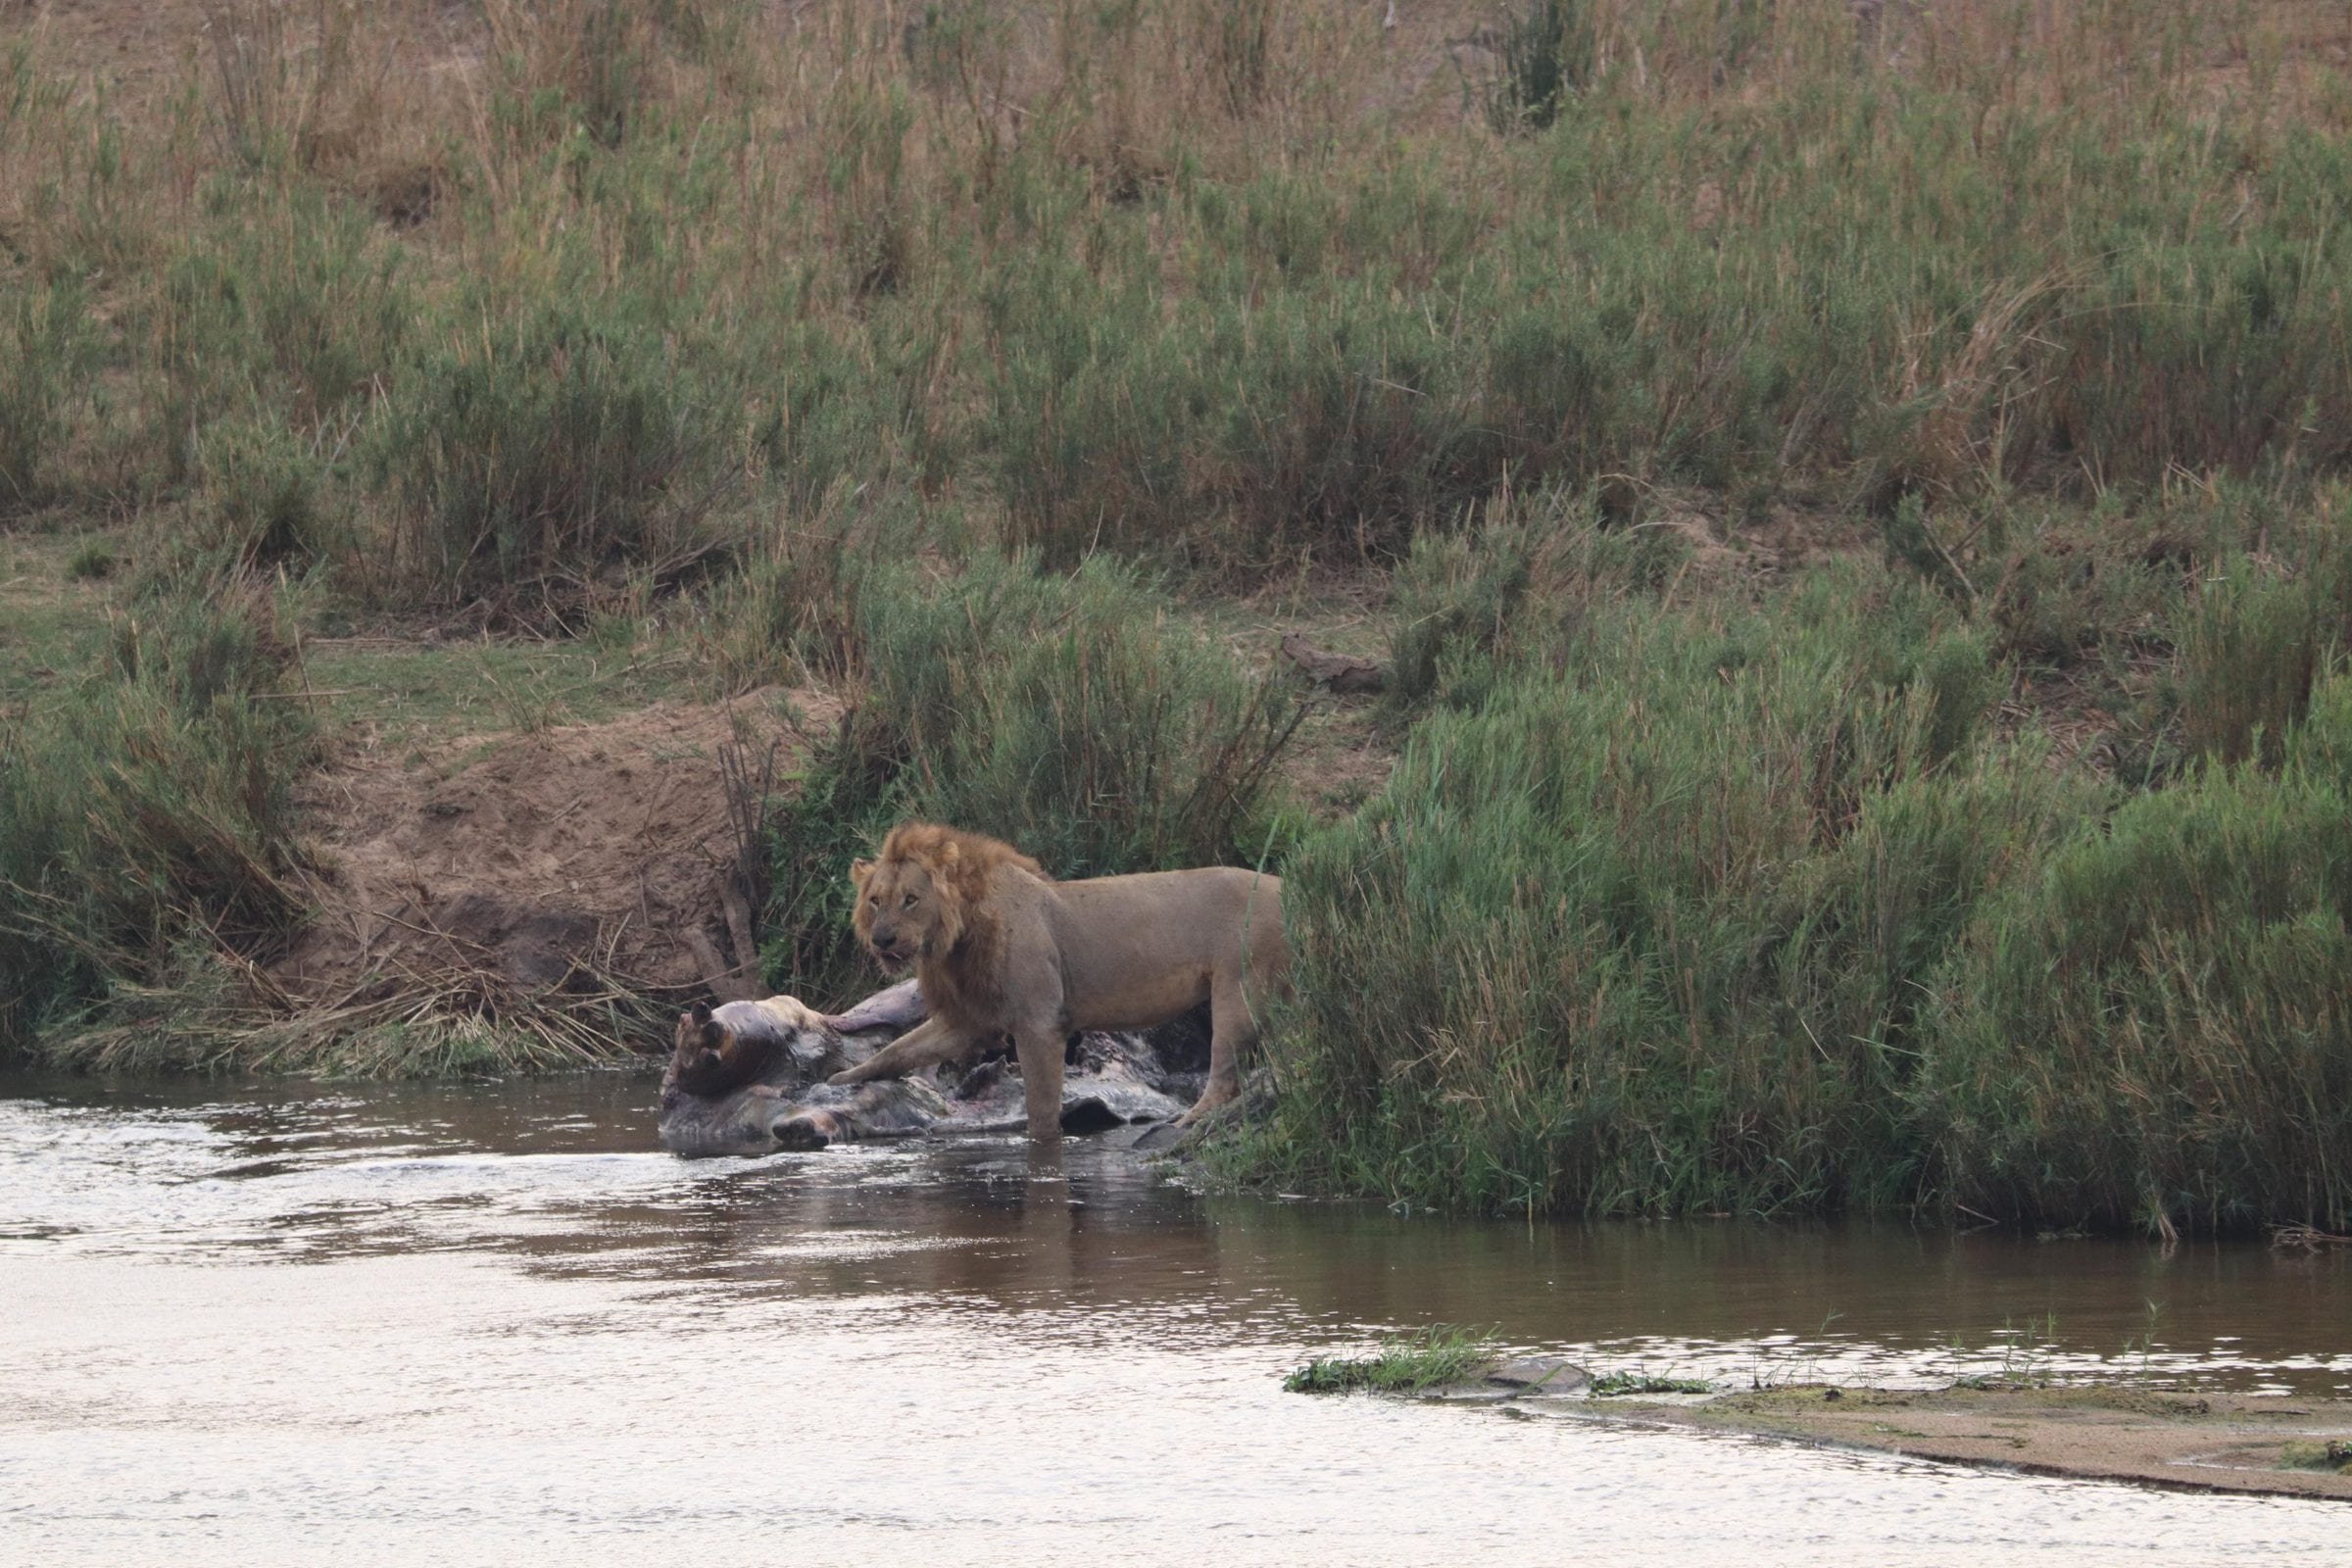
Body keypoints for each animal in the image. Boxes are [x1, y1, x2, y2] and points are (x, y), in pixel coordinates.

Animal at [827, 822, 1289, 1140]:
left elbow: (1042, 1109)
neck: (956, 940)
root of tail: (1286, 884)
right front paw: (842, 1080)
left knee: (1225, 1073)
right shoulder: (970, 1020)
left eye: (911, 899)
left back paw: (1185, 1121)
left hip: (1241, 988)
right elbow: (898, 1049)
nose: (882, 939)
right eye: (875, 901)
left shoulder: (1040, 1024)